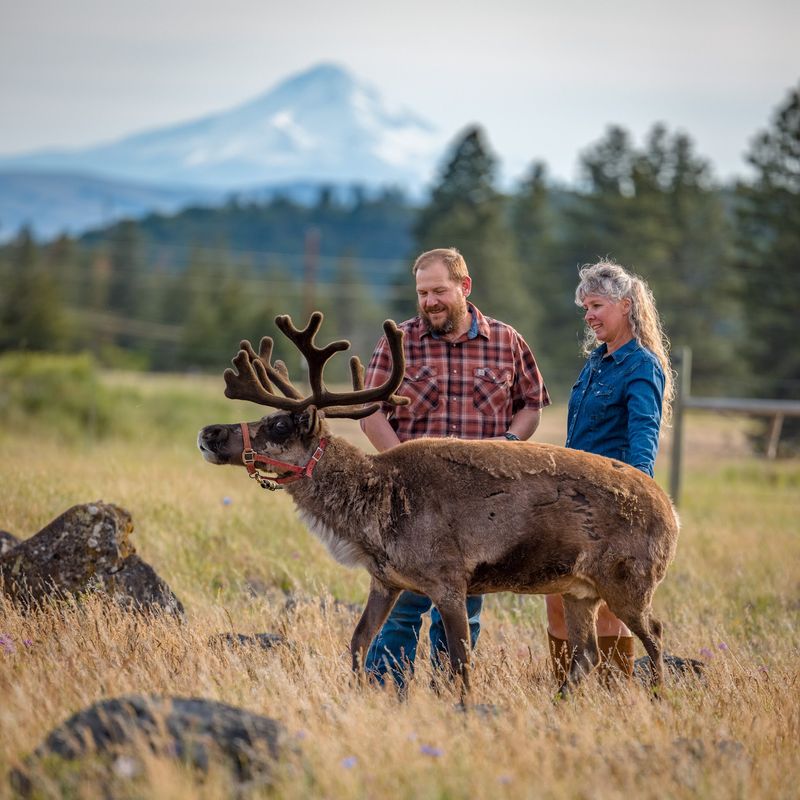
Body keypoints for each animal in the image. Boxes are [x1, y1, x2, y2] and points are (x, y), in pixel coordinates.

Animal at [197, 312, 680, 700]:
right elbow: (359, 643)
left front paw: (464, 708)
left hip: (629, 581)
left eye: (279, 425)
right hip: (579, 590)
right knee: (587, 654)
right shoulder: (386, 581)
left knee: (654, 635)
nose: (208, 433)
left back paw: (658, 698)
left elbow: (460, 659)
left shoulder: (449, 580)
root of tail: (672, 513)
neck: (376, 511)